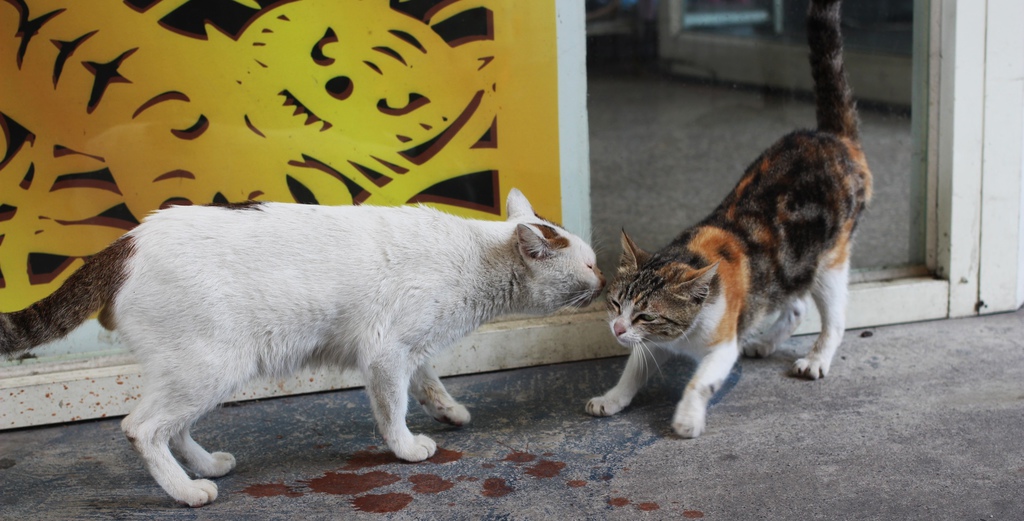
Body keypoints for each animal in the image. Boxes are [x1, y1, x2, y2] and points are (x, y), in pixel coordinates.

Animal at [0, 189, 602, 505]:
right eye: (591, 264)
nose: (603, 280)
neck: (477, 259)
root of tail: (124, 243)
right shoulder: (385, 353)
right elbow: (394, 409)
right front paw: (406, 448)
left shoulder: (411, 349)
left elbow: (429, 380)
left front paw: (450, 411)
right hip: (210, 366)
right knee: (141, 428)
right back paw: (187, 492)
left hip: (194, 371)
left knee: (173, 426)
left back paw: (203, 467)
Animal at [589, 0, 868, 438]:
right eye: (617, 302)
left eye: (646, 313)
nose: (617, 328)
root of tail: (832, 138)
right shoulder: (653, 342)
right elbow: (634, 369)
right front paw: (612, 398)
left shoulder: (722, 343)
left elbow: (700, 381)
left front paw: (687, 419)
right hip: (792, 266)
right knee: (794, 304)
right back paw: (766, 342)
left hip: (830, 260)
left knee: (834, 316)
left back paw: (816, 359)